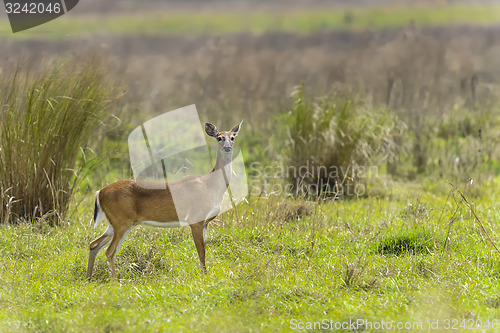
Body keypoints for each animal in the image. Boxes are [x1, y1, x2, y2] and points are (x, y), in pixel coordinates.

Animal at [86, 119, 242, 280]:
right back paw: (116, 282)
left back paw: (89, 278)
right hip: (122, 222)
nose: (227, 147)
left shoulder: (205, 223)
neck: (211, 185)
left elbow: (203, 250)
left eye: (232, 137)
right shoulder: (195, 220)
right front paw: (205, 277)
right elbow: (201, 253)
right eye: (219, 137)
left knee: (94, 245)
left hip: (115, 223)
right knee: (109, 251)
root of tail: (99, 192)